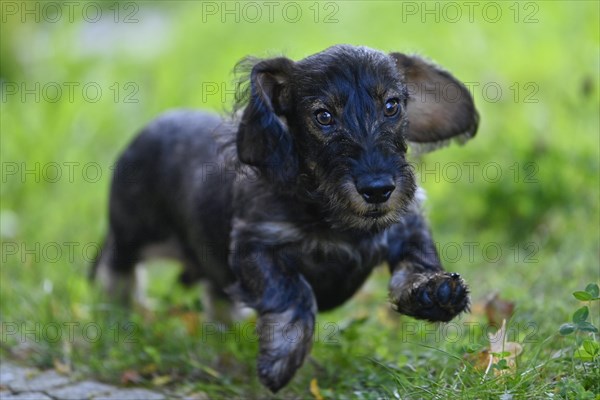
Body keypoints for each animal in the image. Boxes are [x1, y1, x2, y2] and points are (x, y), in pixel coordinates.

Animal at [94, 43, 478, 390]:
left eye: (391, 106)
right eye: (323, 116)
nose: (377, 189)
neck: (332, 215)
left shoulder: (406, 225)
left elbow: (416, 262)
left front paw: (435, 291)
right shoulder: (255, 245)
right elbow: (293, 291)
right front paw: (282, 356)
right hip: (131, 234)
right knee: (117, 269)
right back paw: (120, 311)